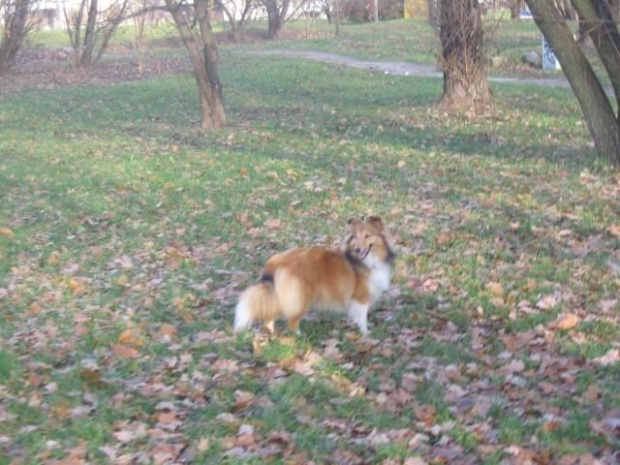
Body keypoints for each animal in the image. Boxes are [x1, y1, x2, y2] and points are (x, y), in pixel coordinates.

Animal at [235, 216, 394, 336]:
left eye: (367, 236)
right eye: (356, 237)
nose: (358, 249)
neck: (366, 260)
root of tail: (276, 260)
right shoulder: (361, 297)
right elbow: (362, 317)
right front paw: (365, 332)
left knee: (269, 319)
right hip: (301, 297)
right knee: (292, 321)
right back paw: (299, 336)